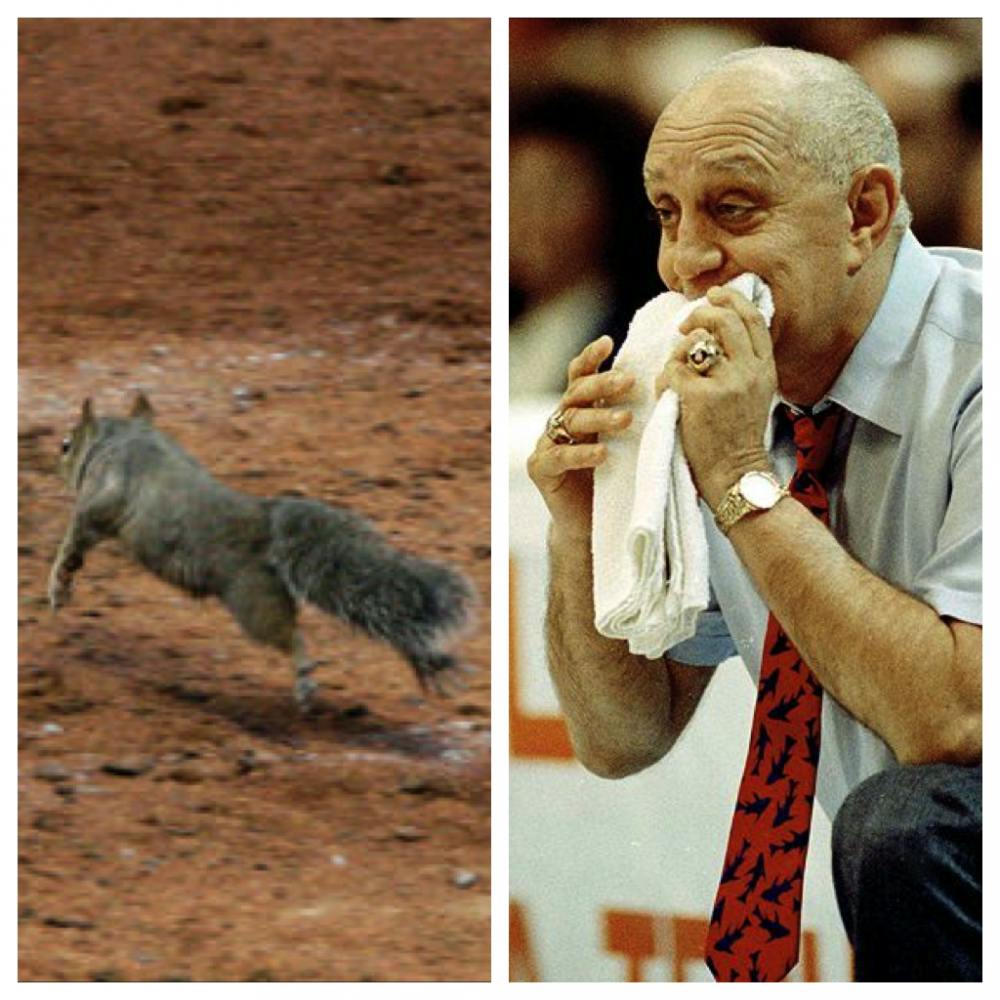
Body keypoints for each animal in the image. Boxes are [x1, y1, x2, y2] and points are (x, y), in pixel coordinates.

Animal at [48, 394, 476, 710]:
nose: (58, 461)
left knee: (290, 635)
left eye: (67, 444)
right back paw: (428, 661)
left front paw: (60, 583)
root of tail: (267, 523)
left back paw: (304, 679)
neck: (124, 438)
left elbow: (75, 538)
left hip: (252, 600)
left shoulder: (102, 499)